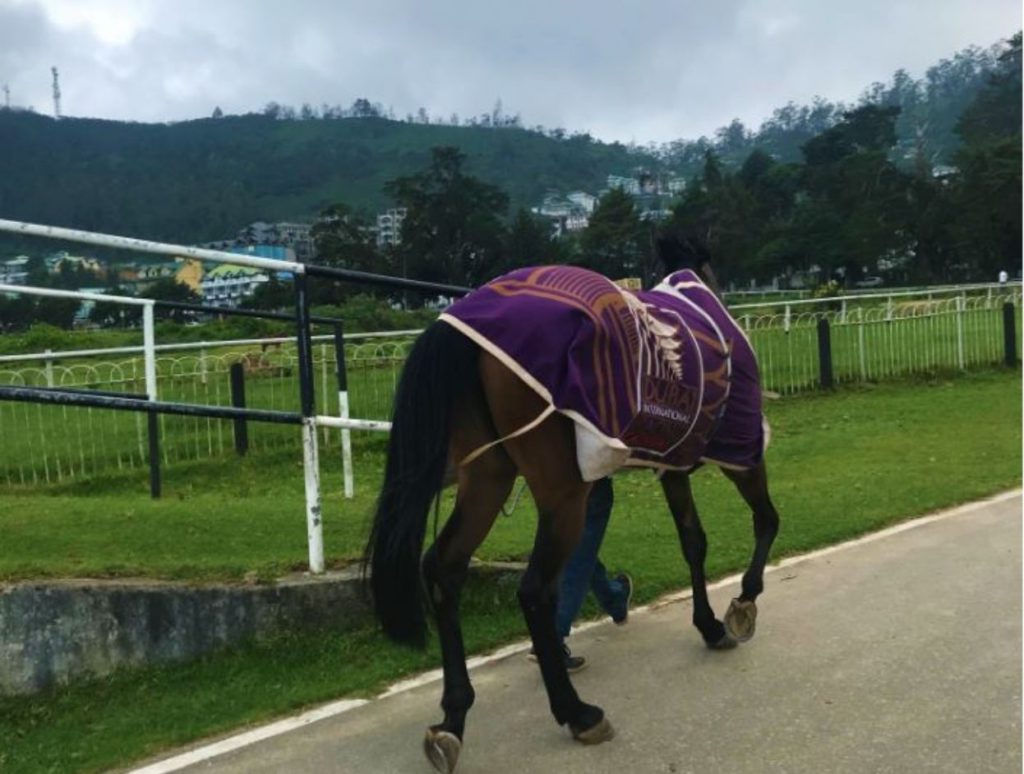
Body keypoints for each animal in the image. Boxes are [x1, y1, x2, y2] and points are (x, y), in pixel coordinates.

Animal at [364, 247, 778, 769]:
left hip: (488, 477)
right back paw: (577, 712)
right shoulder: (742, 450)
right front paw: (743, 605)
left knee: (443, 567)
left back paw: (453, 719)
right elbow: (766, 520)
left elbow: (693, 541)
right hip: (562, 494)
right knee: (535, 589)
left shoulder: (673, 463)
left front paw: (709, 626)